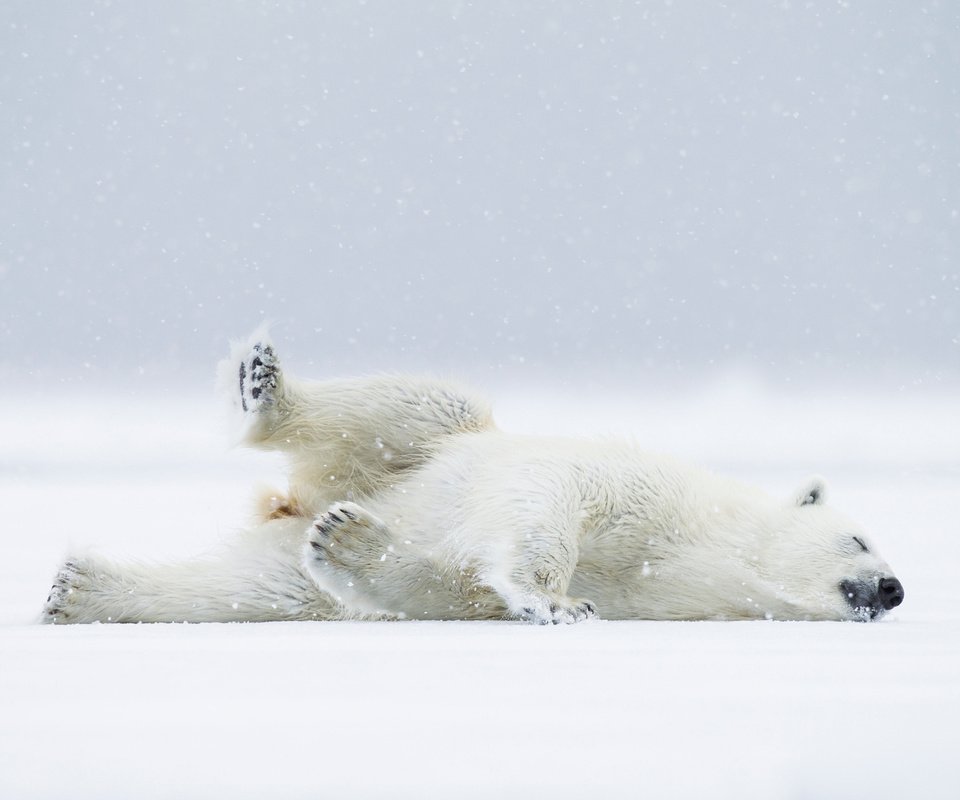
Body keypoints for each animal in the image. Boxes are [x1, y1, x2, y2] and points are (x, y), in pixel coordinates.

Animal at [41, 332, 904, 624]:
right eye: (861, 539)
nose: (893, 589)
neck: (706, 546)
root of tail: (294, 499)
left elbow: (453, 588)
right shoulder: (635, 491)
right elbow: (549, 505)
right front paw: (559, 602)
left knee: (258, 584)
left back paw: (81, 589)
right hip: (425, 445)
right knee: (417, 403)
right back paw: (264, 388)